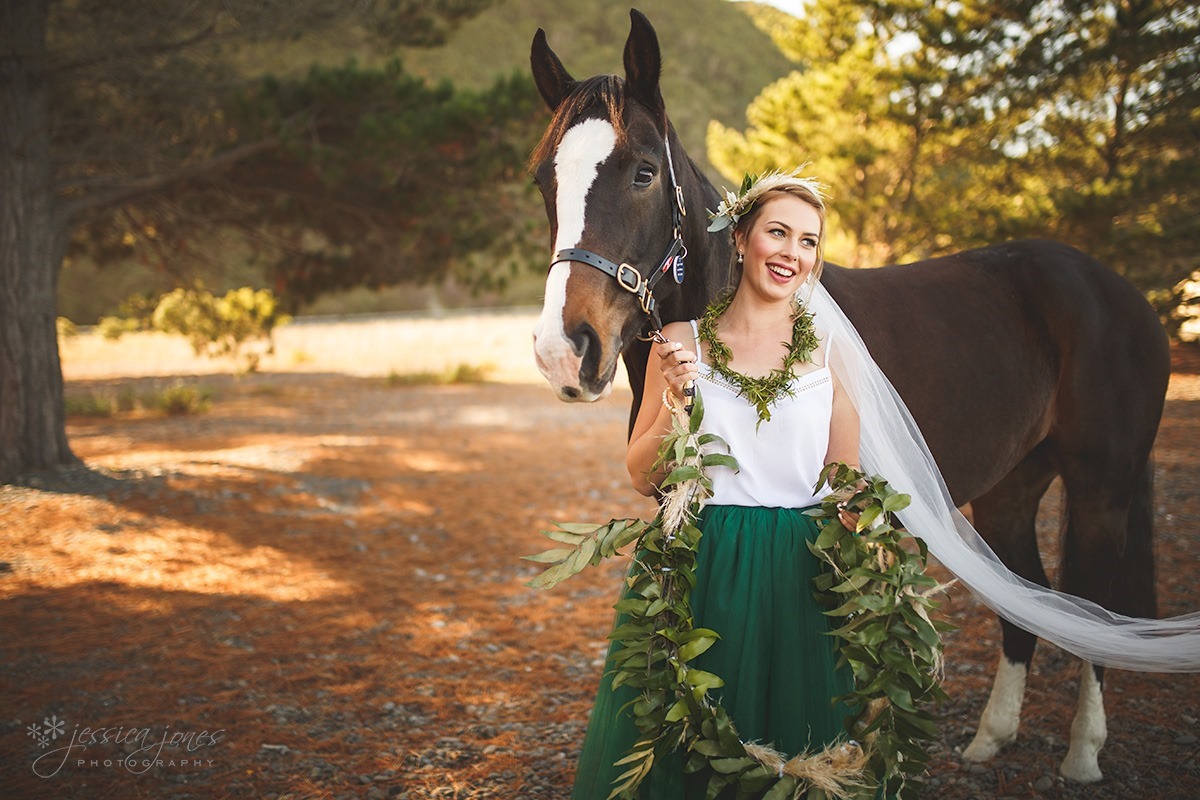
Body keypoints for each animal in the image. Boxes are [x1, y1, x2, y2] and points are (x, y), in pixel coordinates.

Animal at [532, 6, 1171, 782]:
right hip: (1011, 490)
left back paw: (1082, 753)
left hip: (1100, 491)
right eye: (544, 182)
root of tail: (1120, 290)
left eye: (643, 173)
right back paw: (991, 738)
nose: (564, 350)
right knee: (1027, 604)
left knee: (1092, 609)